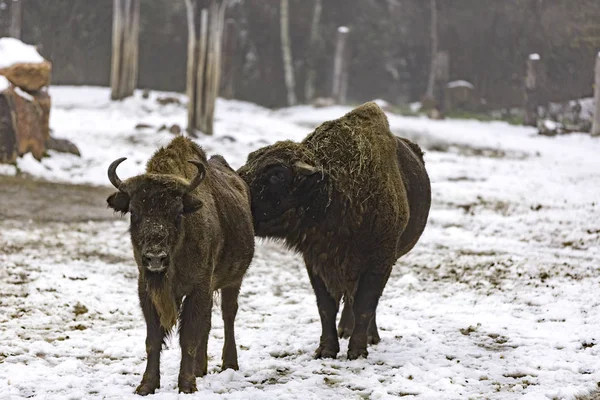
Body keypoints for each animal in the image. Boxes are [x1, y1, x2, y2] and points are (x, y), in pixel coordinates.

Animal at [106, 137, 254, 394]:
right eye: (134, 212)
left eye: (177, 212)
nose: (155, 258)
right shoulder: (147, 290)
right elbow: (154, 339)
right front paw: (146, 386)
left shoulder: (199, 288)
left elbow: (189, 337)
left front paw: (186, 385)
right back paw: (200, 369)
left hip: (234, 280)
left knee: (228, 315)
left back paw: (229, 364)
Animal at [238, 102, 432, 360]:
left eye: (277, 174)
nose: (236, 184)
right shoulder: (317, 261)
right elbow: (326, 306)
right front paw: (326, 349)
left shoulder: (379, 261)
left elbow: (365, 305)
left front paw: (357, 351)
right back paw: (345, 330)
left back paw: (368, 336)